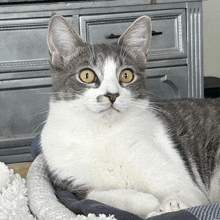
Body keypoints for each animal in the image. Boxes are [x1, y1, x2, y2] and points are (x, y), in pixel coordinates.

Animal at [40, 15, 220, 218]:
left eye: (126, 75)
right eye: (86, 75)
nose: (112, 95)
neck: (103, 133)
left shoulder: (183, 181)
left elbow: (183, 194)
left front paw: (169, 206)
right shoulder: (72, 183)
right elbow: (96, 196)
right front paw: (147, 201)